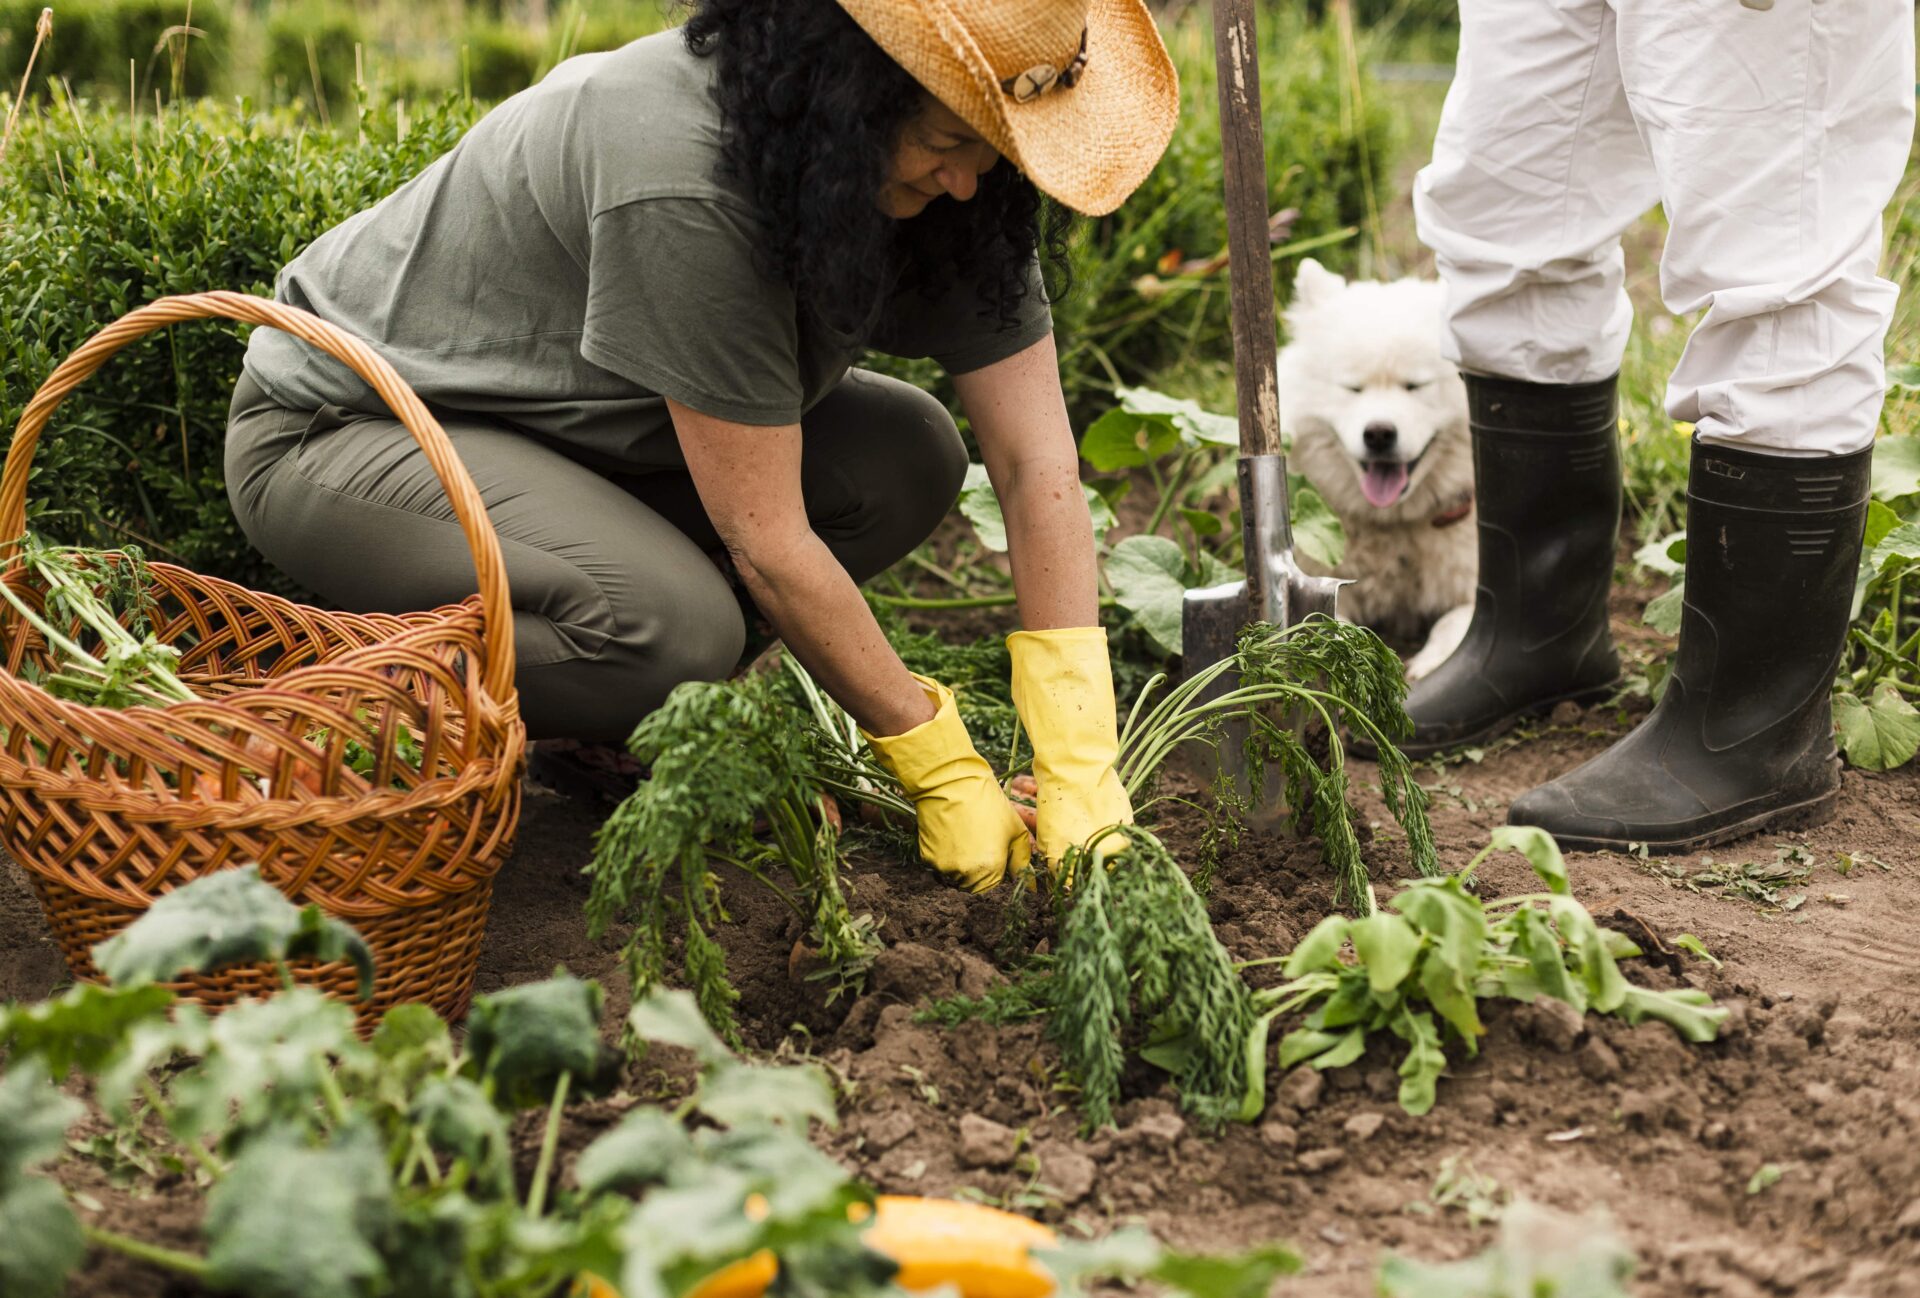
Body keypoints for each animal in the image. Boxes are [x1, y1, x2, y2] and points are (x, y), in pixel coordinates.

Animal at [1282, 255, 1474, 679]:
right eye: (1352, 388)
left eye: (1415, 386)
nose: (1379, 434)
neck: (1396, 523)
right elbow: (1332, 627)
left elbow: (1457, 622)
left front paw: (1430, 664)